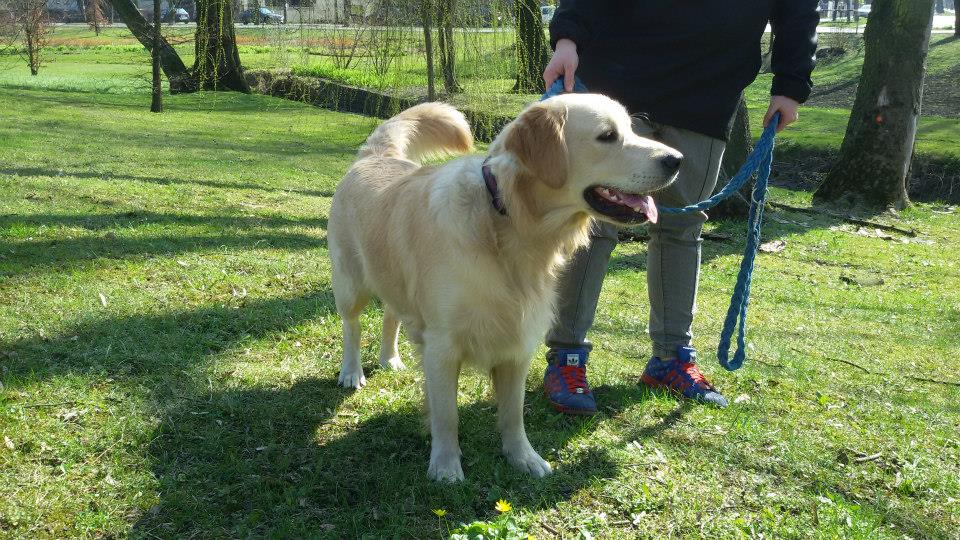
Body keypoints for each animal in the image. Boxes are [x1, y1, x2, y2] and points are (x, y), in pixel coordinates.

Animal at [327, 94, 682, 481]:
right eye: (607, 136)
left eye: (632, 129)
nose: (676, 160)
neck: (507, 221)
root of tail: (375, 155)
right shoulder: (443, 344)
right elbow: (447, 414)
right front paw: (446, 465)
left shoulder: (518, 342)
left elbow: (514, 413)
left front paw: (524, 457)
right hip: (351, 283)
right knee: (351, 326)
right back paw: (352, 371)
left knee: (391, 315)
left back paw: (389, 358)